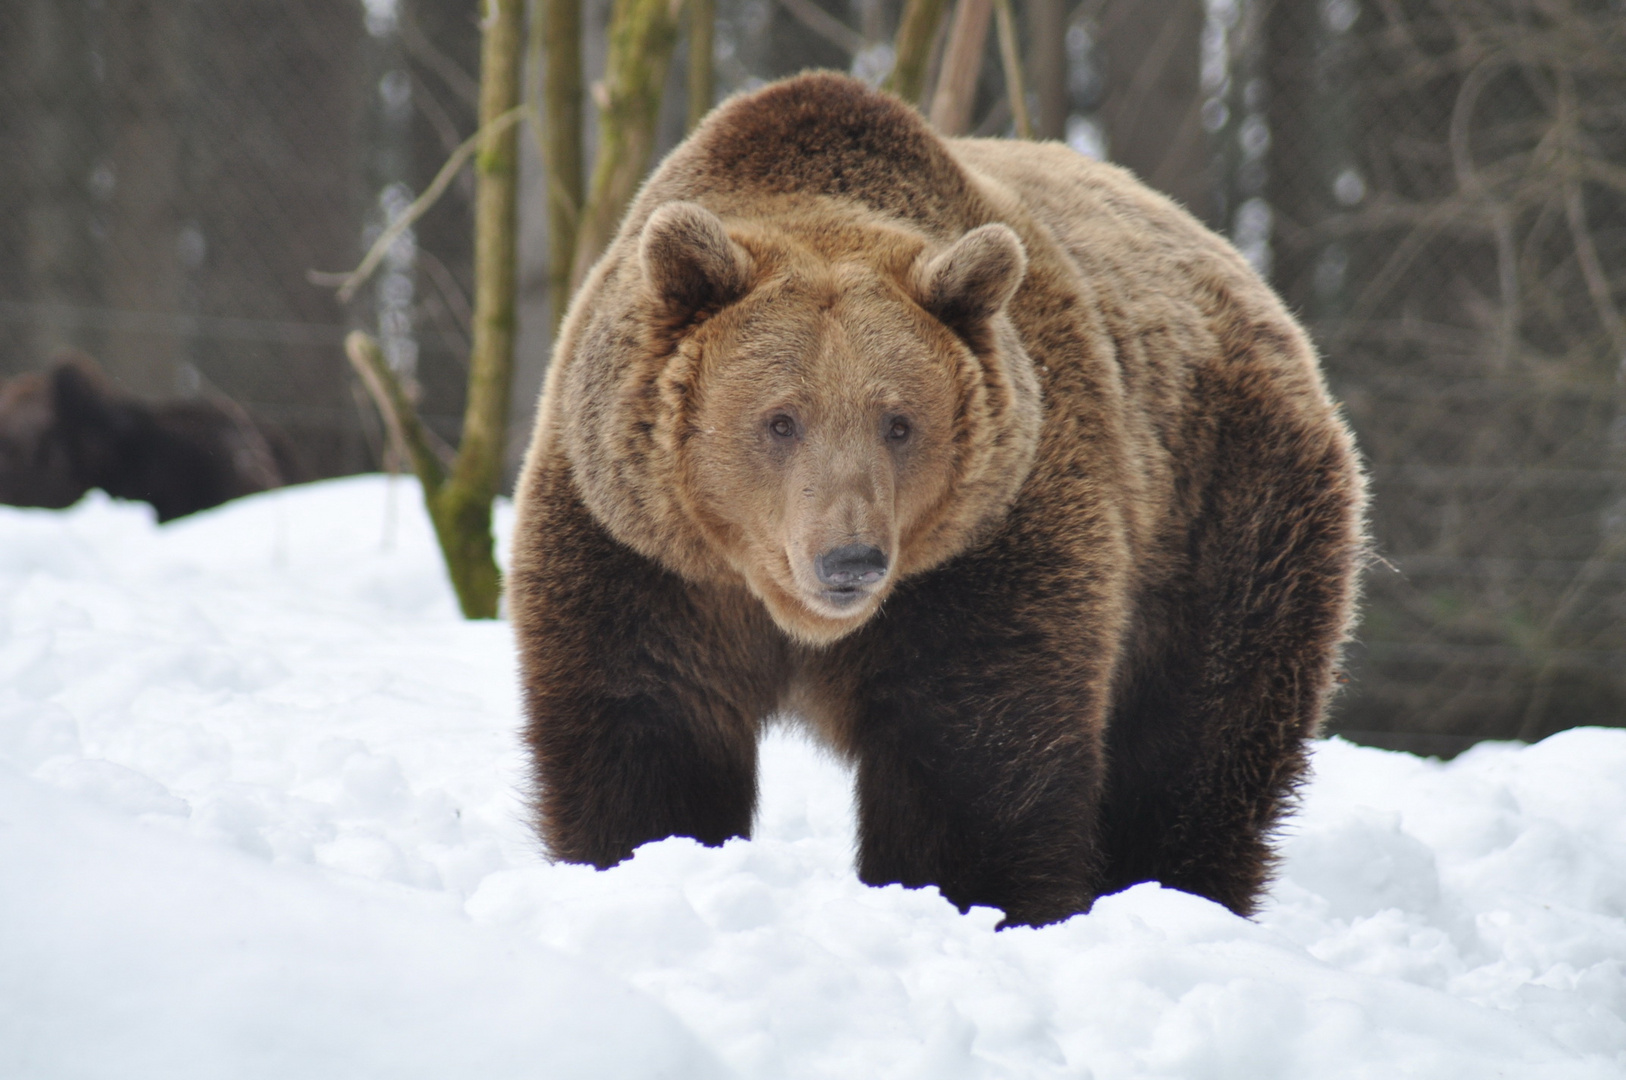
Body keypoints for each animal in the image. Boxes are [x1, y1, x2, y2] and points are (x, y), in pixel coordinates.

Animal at [504, 71, 1359, 930]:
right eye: (781, 419)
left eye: (898, 422)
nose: (850, 558)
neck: (781, 606)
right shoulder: (645, 550)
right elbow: (646, 726)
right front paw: (643, 860)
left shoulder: (989, 543)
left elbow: (970, 750)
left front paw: (969, 897)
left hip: (1226, 514)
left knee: (1196, 742)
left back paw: (1177, 892)